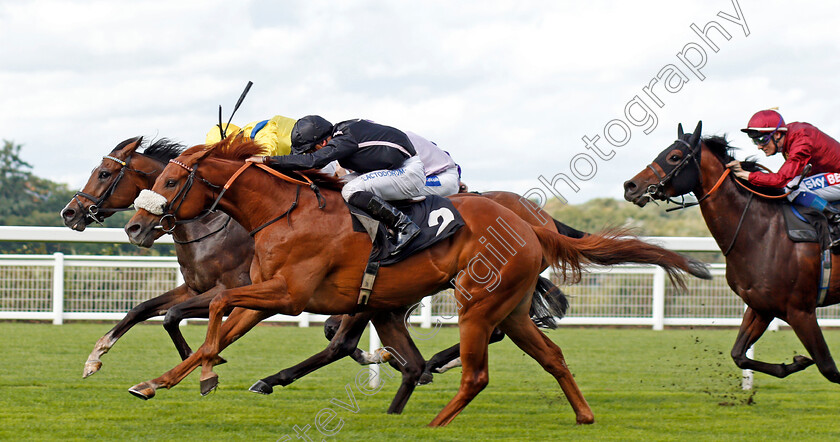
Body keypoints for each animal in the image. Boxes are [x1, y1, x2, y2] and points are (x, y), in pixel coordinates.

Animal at [60, 135, 576, 414]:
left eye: (104, 173)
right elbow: (151, 311)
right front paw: (100, 361)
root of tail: (531, 217)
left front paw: (206, 370)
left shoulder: (258, 291)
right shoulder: (222, 288)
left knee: (349, 341)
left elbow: (194, 320)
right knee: (352, 341)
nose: (71, 213)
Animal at [120, 136, 708, 426]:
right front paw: (160, 380)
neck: (280, 212)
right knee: (551, 357)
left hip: (476, 301)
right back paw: (582, 415)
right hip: (507, 307)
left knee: (475, 369)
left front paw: (207, 374)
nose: (134, 226)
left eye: (169, 181)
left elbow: (218, 306)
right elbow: (218, 322)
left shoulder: (288, 294)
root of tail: (530, 224)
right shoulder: (269, 295)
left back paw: (432, 414)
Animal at [624, 121, 840, 384]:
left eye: (673, 156)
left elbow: (829, 368)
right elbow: (738, 354)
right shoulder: (761, 307)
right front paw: (795, 362)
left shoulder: (801, 312)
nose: (630, 186)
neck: (762, 233)